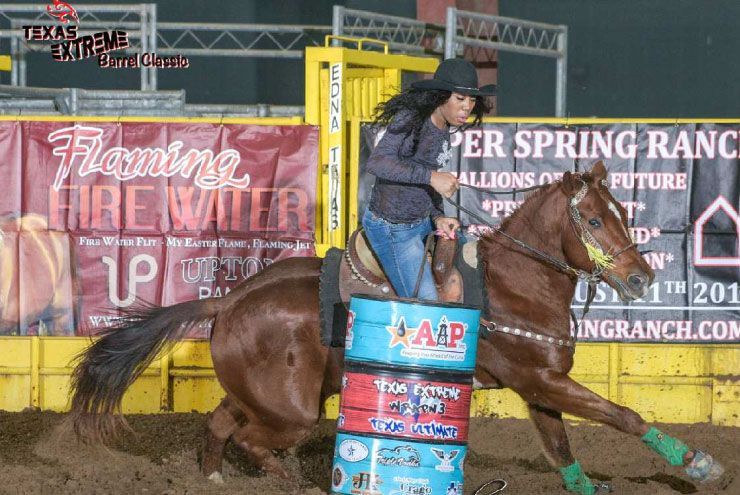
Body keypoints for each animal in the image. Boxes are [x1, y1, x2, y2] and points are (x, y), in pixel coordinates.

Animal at [69, 163, 724, 492]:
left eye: (621, 213)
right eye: (591, 218)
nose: (640, 279)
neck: (518, 284)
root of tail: (228, 301)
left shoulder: (541, 389)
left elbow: (564, 448)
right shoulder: (538, 380)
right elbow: (624, 415)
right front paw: (699, 464)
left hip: (262, 394)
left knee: (221, 425)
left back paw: (215, 478)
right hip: (292, 411)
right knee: (254, 440)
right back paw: (296, 481)